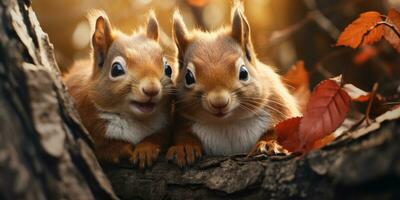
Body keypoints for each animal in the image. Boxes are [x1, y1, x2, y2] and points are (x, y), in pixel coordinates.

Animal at [63, 10, 174, 168]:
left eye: (168, 69)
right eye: (116, 69)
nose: (151, 89)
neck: (133, 119)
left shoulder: (164, 126)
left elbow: (157, 138)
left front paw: (145, 150)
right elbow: (102, 147)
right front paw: (119, 149)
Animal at [166, 5, 300, 167]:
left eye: (244, 73)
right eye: (188, 77)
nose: (219, 102)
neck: (227, 122)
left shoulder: (279, 108)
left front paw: (269, 144)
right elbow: (183, 136)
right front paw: (185, 148)